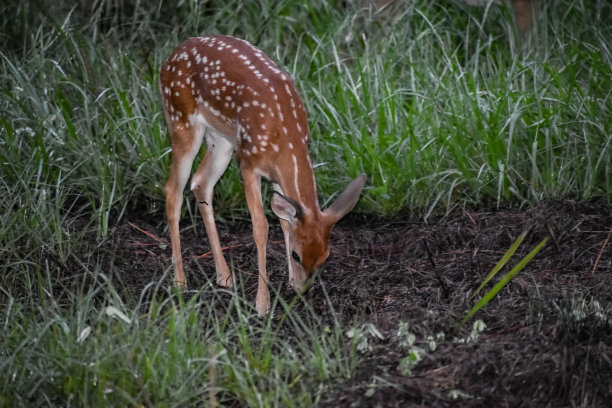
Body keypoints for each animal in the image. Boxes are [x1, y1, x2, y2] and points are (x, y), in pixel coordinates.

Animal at [160, 35, 366, 316]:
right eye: (296, 255)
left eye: (325, 257)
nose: (303, 290)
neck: (285, 137)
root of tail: (171, 56)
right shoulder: (248, 163)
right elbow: (261, 226)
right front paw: (262, 304)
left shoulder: (277, 176)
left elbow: (285, 222)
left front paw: (288, 282)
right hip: (181, 120)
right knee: (173, 191)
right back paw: (180, 282)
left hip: (222, 140)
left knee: (201, 183)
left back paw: (224, 276)